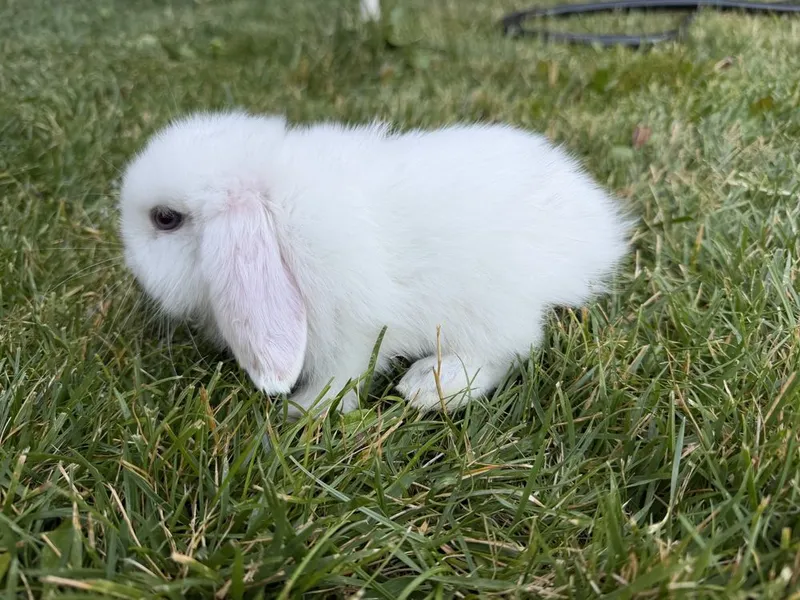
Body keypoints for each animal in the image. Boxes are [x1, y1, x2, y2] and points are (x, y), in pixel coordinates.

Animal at [118, 110, 632, 417]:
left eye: (165, 218)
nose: (132, 267)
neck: (277, 216)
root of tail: (599, 230)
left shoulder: (349, 330)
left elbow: (342, 376)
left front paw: (301, 411)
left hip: (488, 305)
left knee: (507, 351)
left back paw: (428, 387)